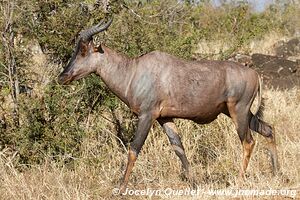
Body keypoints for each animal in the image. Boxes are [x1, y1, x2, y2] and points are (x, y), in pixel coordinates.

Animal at [58, 18, 278, 191]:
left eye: (84, 50)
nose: (62, 77)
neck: (135, 70)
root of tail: (254, 74)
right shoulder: (165, 118)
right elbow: (179, 148)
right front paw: (194, 183)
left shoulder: (147, 116)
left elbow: (134, 149)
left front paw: (121, 188)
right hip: (238, 113)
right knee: (268, 129)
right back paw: (277, 173)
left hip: (238, 111)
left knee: (248, 142)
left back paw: (239, 180)